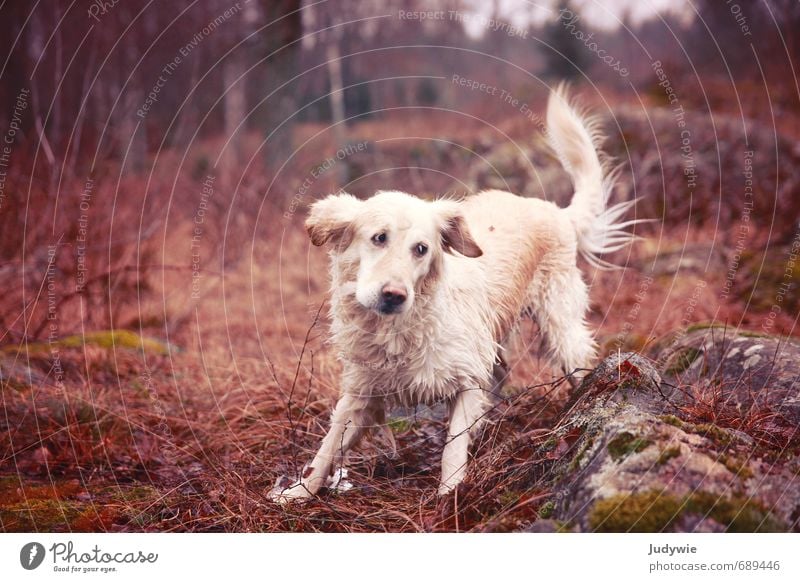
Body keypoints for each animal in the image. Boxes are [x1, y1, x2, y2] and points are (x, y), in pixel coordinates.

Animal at [274, 85, 636, 502]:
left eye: (421, 249)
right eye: (379, 238)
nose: (394, 295)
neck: (398, 329)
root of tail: (554, 210)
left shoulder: (466, 378)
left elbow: (452, 447)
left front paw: (449, 497)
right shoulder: (362, 390)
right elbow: (328, 447)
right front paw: (298, 492)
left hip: (561, 328)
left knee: (577, 364)